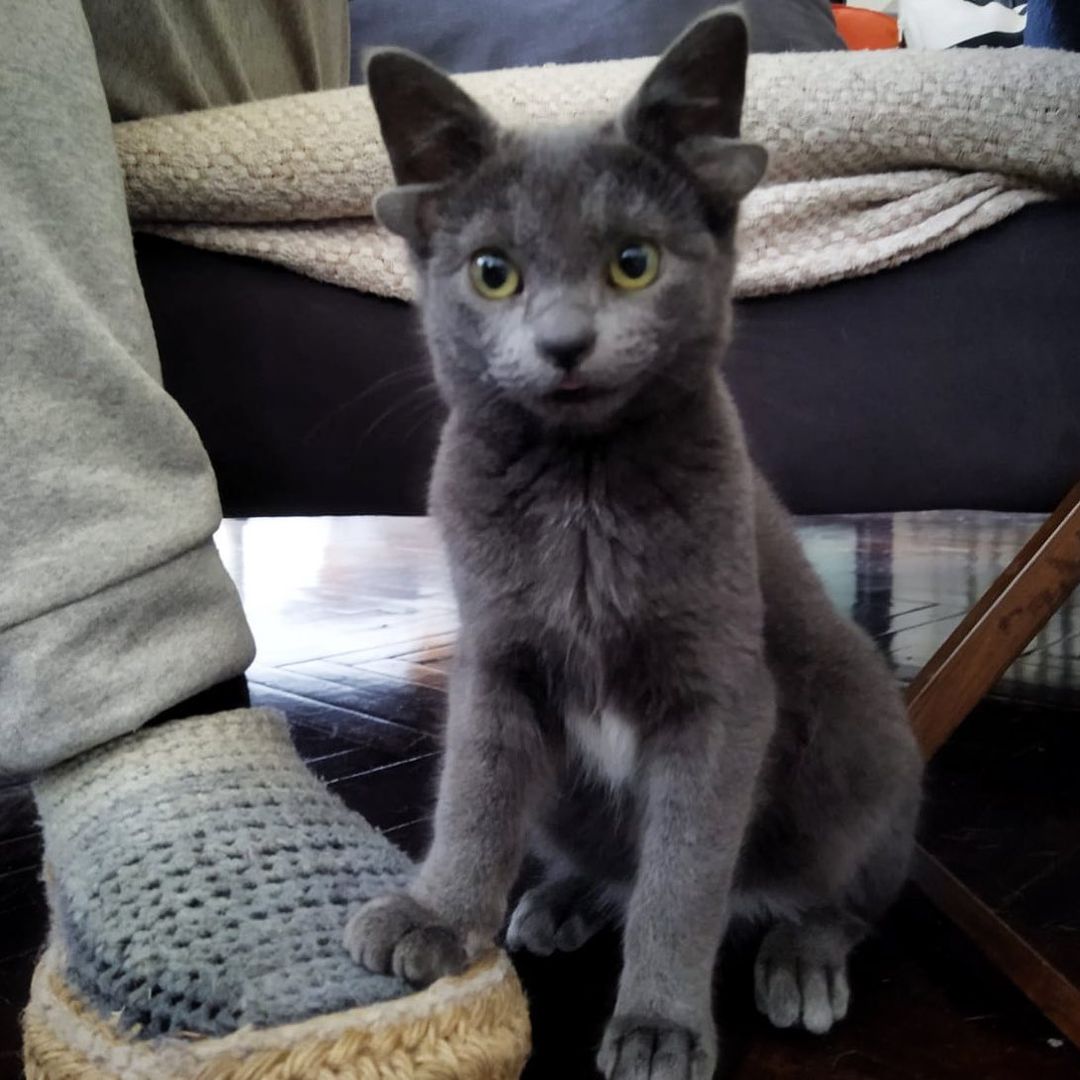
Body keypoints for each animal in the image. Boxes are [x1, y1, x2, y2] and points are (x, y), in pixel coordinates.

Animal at [343, 10, 920, 1080]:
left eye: (633, 263)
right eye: (493, 272)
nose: (565, 342)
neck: (581, 486)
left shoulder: (721, 693)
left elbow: (683, 877)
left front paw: (660, 1023)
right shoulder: (497, 659)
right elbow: (475, 793)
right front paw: (436, 913)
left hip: (861, 737)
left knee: (845, 896)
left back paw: (804, 957)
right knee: (603, 858)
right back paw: (561, 900)